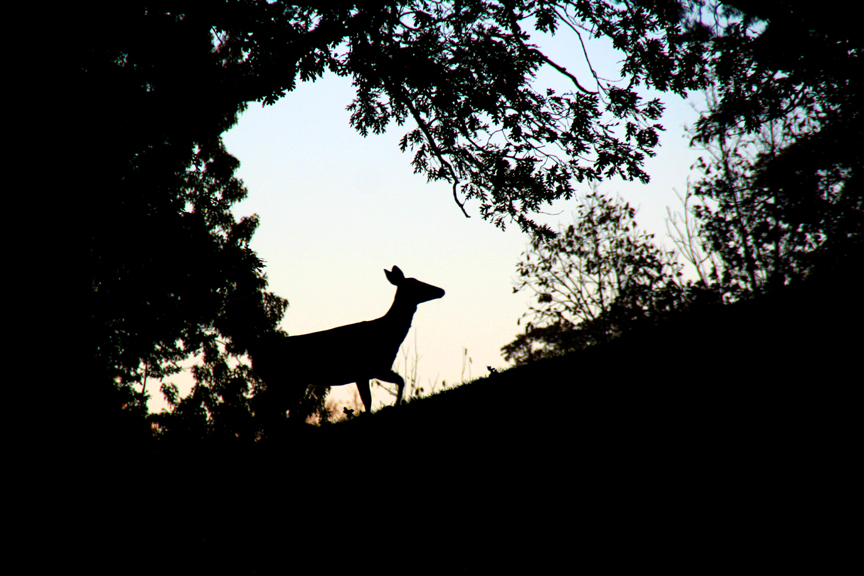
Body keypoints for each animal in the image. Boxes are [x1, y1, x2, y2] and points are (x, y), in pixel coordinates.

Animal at [246, 266, 442, 424]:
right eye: (416, 284)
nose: (441, 290)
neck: (388, 335)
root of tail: (255, 360)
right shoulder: (367, 369)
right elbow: (370, 400)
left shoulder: (375, 370)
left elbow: (396, 383)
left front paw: (395, 404)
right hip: (287, 380)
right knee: (264, 406)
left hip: (289, 382)